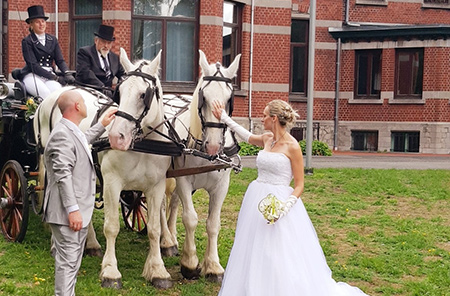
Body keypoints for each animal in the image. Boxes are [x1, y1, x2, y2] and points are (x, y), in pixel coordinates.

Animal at [34, 49, 176, 290]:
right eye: (120, 92)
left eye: (143, 95)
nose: (116, 137)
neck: (144, 145)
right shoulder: (112, 183)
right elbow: (112, 227)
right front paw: (110, 272)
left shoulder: (156, 187)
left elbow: (154, 228)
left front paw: (158, 270)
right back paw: (56, 243)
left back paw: (90, 244)